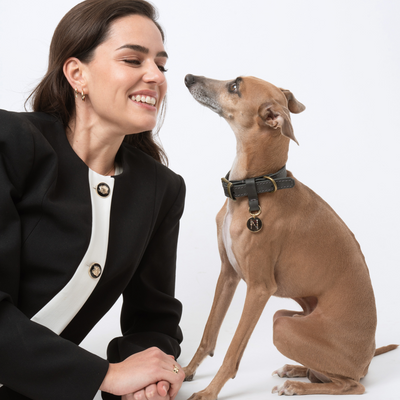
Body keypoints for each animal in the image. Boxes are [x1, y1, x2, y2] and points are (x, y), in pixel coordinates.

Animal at [182, 74, 397, 399]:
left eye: (235, 86)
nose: (188, 78)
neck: (256, 188)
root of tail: (368, 358)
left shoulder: (259, 288)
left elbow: (233, 351)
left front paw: (209, 392)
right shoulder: (228, 274)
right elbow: (209, 334)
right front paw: (184, 371)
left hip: (283, 328)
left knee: (351, 385)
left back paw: (296, 385)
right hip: (284, 317)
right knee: (322, 373)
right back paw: (296, 370)